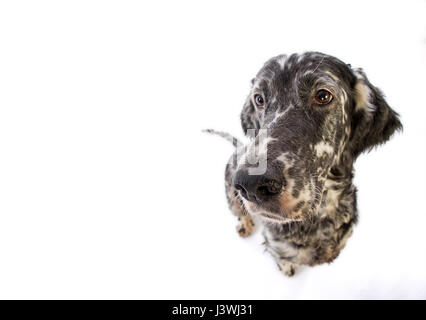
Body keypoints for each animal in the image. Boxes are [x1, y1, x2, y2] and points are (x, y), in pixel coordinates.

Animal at [208, 51, 402, 276]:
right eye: (259, 99)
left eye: (323, 96)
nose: (250, 184)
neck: (317, 220)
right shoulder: (275, 245)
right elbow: (282, 259)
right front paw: (287, 267)